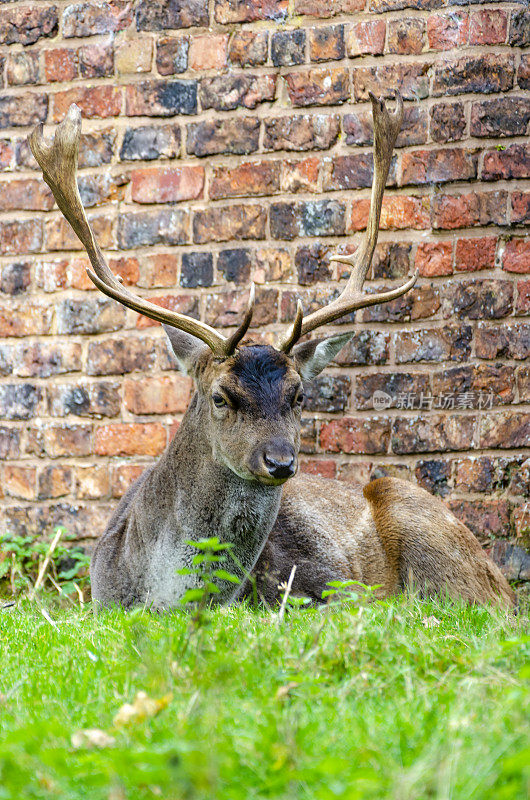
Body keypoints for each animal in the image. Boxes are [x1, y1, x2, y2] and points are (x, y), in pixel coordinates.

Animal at [26, 94, 512, 608]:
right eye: (220, 397)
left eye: (299, 396)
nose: (280, 462)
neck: (165, 597)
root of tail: (502, 582)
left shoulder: (329, 589)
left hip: (423, 525)